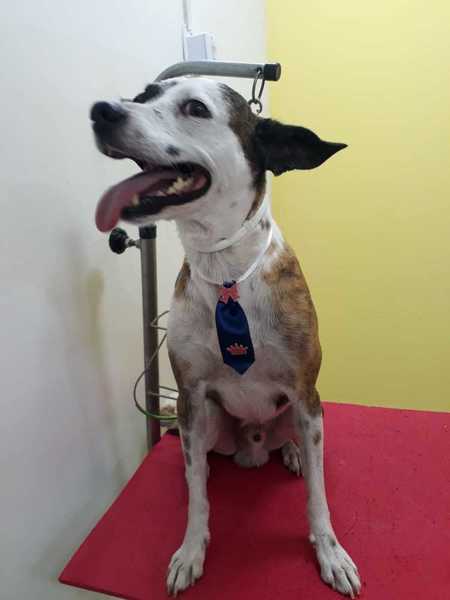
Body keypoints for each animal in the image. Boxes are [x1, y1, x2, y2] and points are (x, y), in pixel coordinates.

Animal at [91, 77, 361, 598]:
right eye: (144, 94)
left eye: (196, 108)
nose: (101, 111)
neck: (226, 272)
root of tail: (252, 447)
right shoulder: (192, 394)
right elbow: (198, 498)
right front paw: (191, 550)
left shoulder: (305, 393)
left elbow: (317, 496)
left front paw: (330, 552)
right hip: (208, 420)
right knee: (197, 458)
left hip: (303, 413)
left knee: (297, 443)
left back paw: (293, 453)